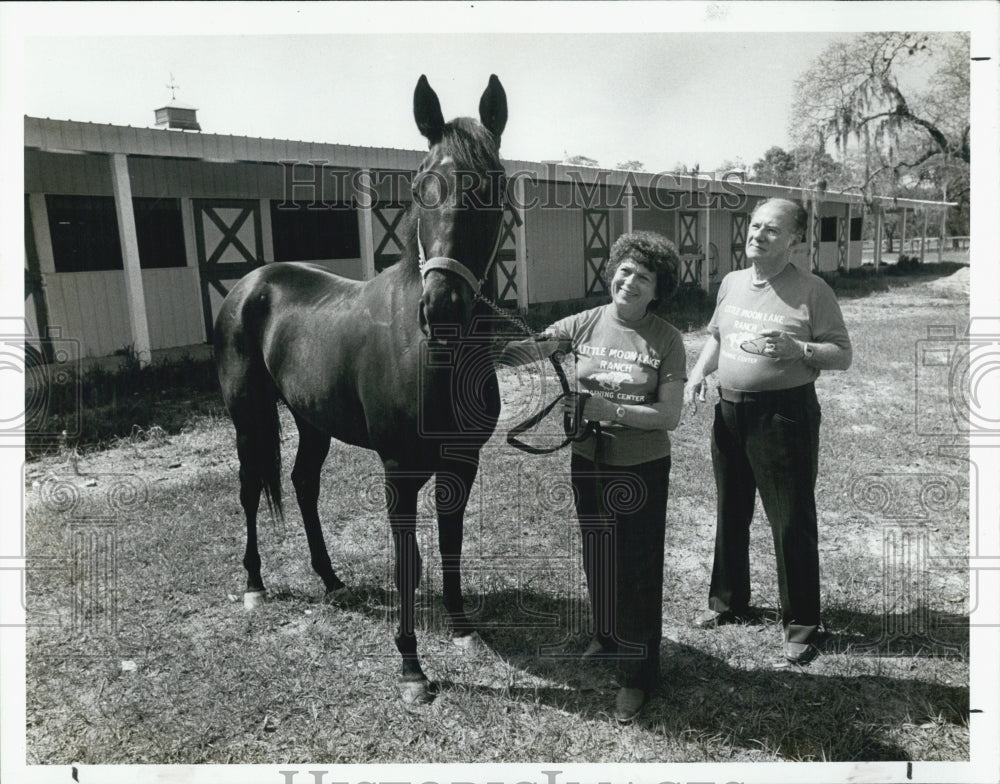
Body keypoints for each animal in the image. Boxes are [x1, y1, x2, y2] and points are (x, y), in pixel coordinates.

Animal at [212, 75, 508, 704]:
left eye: (491, 186)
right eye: (421, 186)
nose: (441, 310)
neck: (432, 357)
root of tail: (249, 284)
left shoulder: (461, 463)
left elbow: (450, 543)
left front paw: (462, 629)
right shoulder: (398, 469)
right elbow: (405, 560)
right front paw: (412, 668)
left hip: (312, 420)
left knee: (303, 484)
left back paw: (331, 580)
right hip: (248, 418)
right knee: (251, 490)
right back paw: (254, 584)